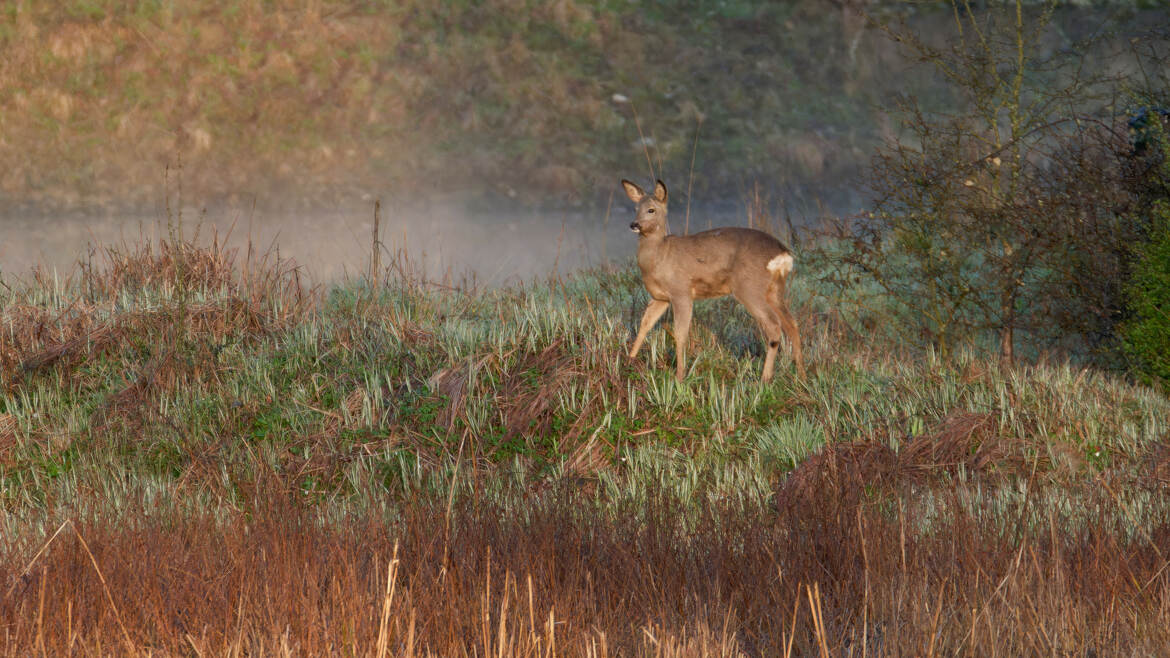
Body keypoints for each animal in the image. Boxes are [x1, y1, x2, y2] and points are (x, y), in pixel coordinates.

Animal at [622, 179, 804, 384]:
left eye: (651, 209)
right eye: (636, 208)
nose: (634, 224)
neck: (659, 256)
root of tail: (783, 254)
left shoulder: (681, 292)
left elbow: (680, 334)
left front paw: (680, 377)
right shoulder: (661, 297)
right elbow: (644, 325)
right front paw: (628, 363)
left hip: (749, 287)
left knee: (774, 326)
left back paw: (764, 379)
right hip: (774, 290)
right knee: (792, 324)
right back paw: (802, 377)